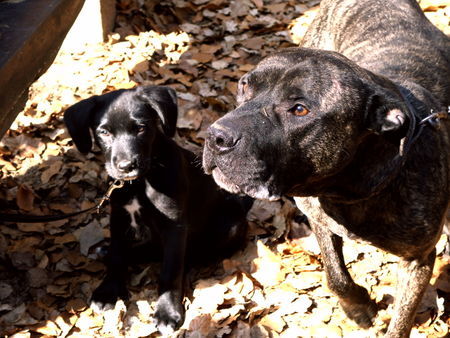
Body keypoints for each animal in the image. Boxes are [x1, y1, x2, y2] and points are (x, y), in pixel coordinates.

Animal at [65, 86, 251, 334]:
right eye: (104, 132)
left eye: (141, 128)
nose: (126, 166)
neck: (139, 183)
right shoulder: (119, 217)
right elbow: (117, 254)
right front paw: (108, 290)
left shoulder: (174, 226)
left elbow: (170, 270)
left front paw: (167, 311)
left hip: (230, 225)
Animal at [204, 1, 450, 336]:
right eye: (244, 86)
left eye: (299, 110)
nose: (217, 136)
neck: (350, 189)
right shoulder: (318, 219)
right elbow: (336, 276)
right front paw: (359, 306)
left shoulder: (418, 259)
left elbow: (402, 318)